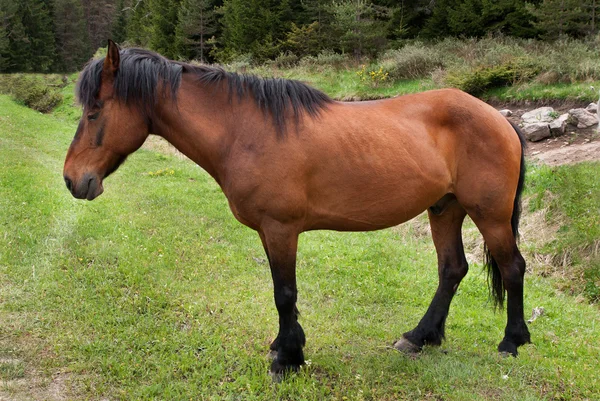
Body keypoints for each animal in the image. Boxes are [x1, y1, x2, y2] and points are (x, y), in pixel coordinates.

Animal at [62, 40, 528, 376]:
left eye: (95, 110)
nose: (72, 179)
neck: (246, 131)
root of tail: (499, 118)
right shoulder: (270, 233)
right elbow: (280, 292)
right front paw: (283, 348)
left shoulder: (281, 228)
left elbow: (284, 294)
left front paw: (288, 359)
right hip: (444, 208)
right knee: (452, 269)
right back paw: (420, 336)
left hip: (489, 215)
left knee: (512, 268)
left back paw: (511, 342)